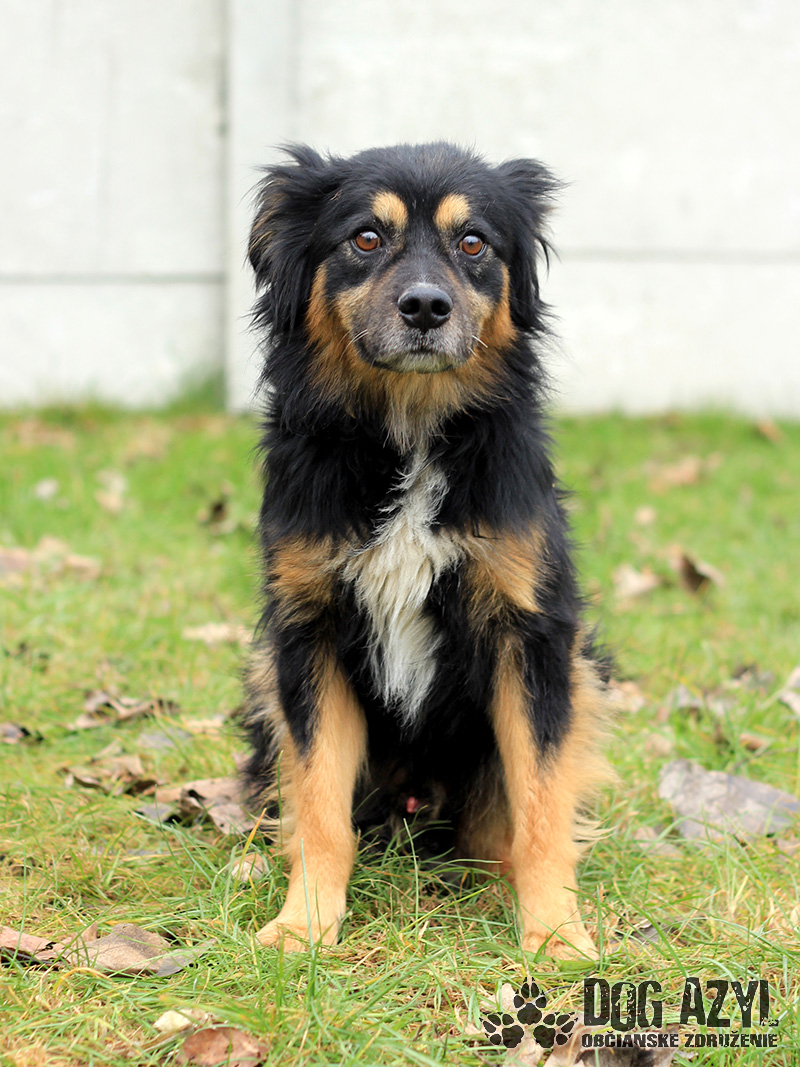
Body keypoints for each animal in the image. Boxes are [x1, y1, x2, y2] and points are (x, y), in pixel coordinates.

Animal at [242, 143, 612, 959]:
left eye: (473, 242)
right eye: (365, 238)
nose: (424, 307)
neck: (411, 428)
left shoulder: (532, 634)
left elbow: (541, 802)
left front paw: (556, 935)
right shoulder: (307, 631)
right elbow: (317, 801)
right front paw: (303, 923)